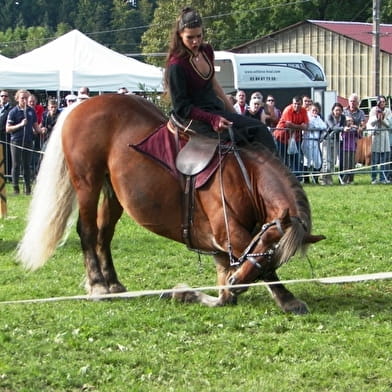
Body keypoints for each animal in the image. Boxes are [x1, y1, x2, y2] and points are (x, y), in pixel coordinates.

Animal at [17, 93, 324, 314]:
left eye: (279, 255)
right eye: (266, 248)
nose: (238, 283)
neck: (245, 174)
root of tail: (80, 106)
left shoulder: (223, 245)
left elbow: (225, 285)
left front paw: (193, 293)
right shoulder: (228, 234)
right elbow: (258, 272)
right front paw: (287, 298)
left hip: (113, 191)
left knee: (104, 234)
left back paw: (112, 282)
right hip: (87, 183)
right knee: (88, 231)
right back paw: (97, 285)